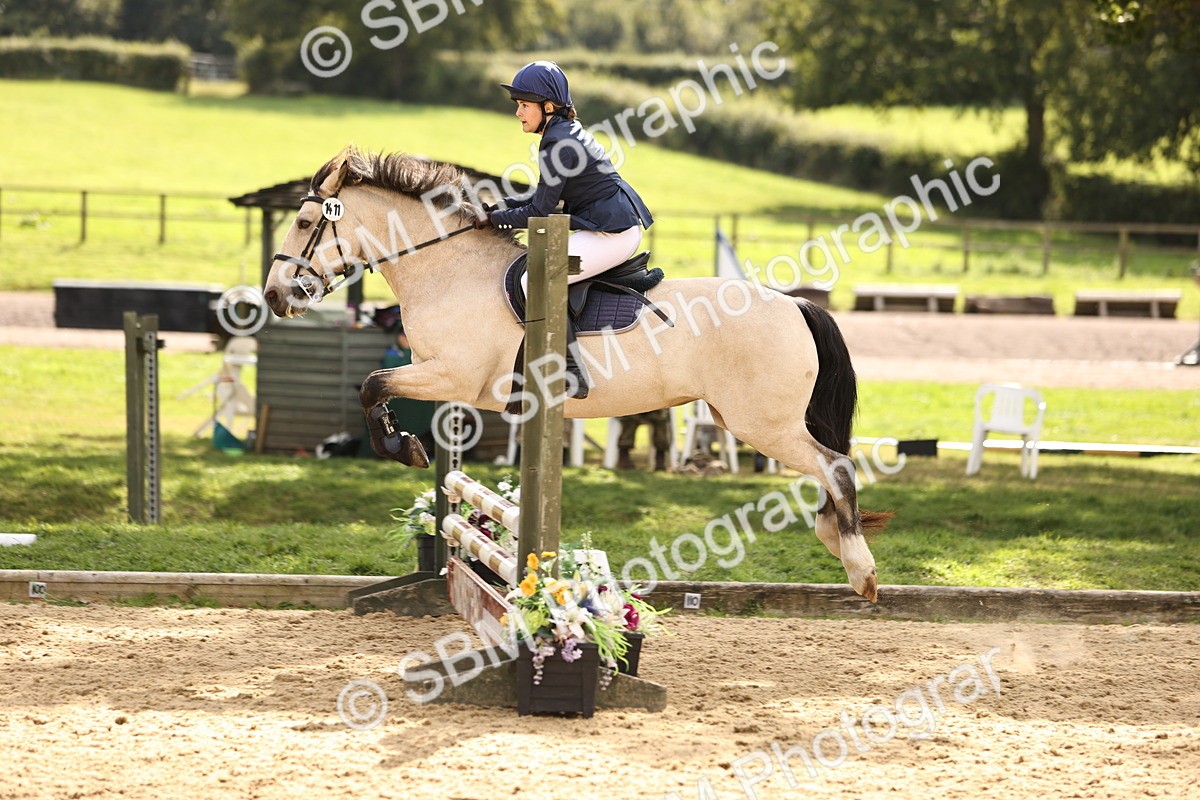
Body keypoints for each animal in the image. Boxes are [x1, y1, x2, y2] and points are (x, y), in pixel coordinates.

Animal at [262, 148, 891, 601]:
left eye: (304, 221)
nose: (273, 296)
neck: (448, 269)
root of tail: (794, 304)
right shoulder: (444, 381)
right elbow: (383, 394)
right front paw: (412, 446)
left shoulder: (451, 377)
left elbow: (372, 384)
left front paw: (403, 447)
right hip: (752, 419)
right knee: (828, 467)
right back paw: (836, 540)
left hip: (761, 422)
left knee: (834, 465)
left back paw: (858, 567)